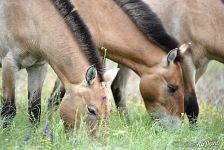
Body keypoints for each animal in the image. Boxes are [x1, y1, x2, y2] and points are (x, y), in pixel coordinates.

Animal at [0, 0, 119, 132]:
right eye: (91, 110)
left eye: (109, 110)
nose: (100, 138)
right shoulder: (9, 65)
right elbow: (8, 110)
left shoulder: (38, 67)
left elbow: (34, 110)